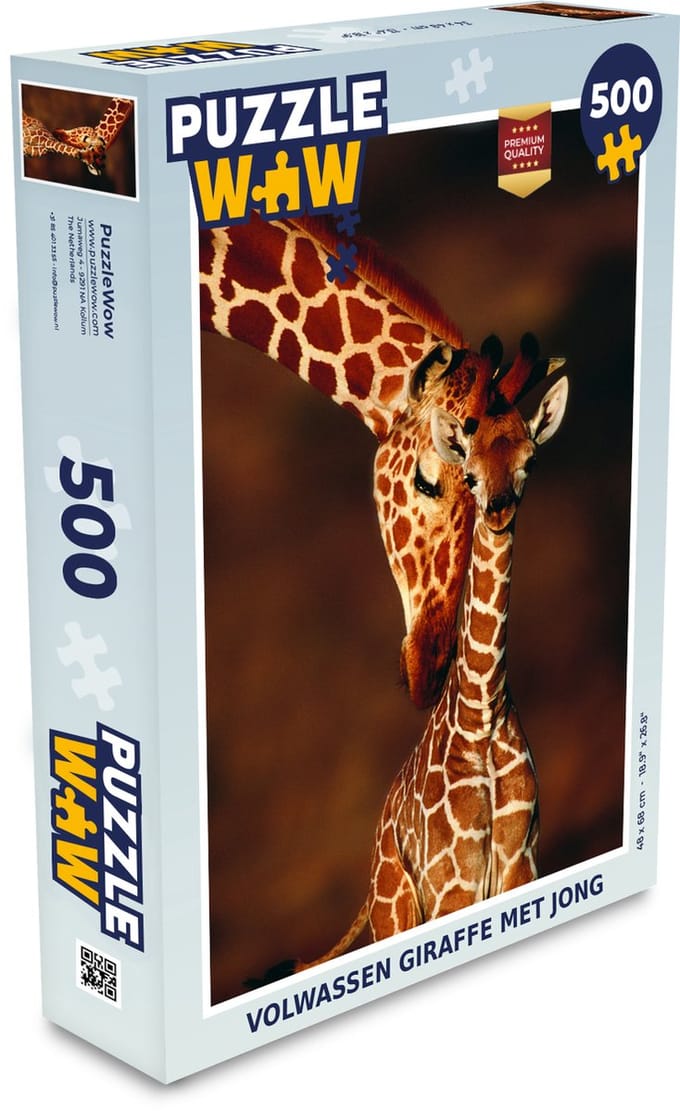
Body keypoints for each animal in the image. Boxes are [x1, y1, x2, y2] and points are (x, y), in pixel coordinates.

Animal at [281, 370, 569, 971]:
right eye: (470, 472)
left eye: (529, 460)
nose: (499, 509)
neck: (482, 711)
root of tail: (373, 863)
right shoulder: (453, 884)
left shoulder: (520, 863)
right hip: (397, 911)